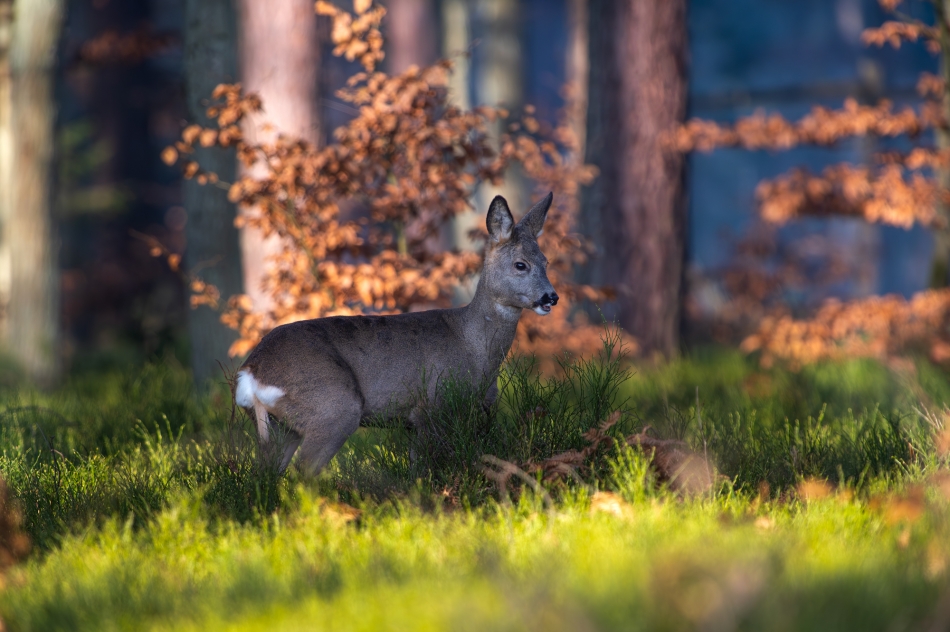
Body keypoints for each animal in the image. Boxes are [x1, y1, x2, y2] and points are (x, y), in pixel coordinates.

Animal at [236, 193, 556, 474]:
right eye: (520, 264)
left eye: (546, 262)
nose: (551, 297)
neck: (473, 347)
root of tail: (251, 372)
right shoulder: (431, 405)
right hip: (333, 405)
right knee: (304, 470)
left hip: (281, 426)